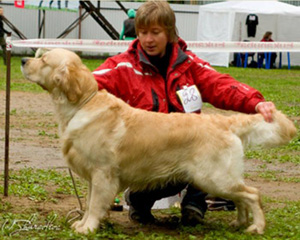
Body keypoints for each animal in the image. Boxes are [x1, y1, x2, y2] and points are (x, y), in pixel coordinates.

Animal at [21, 48, 298, 234]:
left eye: (43, 59)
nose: (23, 60)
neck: (82, 104)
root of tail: (224, 122)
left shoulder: (102, 174)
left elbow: (94, 205)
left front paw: (87, 228)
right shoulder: (93, 176)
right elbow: (89, 204)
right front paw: (81, 222)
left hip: (213, 177)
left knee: (252, 193)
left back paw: (256, 227)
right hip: (219, 179)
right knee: (243, 197)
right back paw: (239, 222)